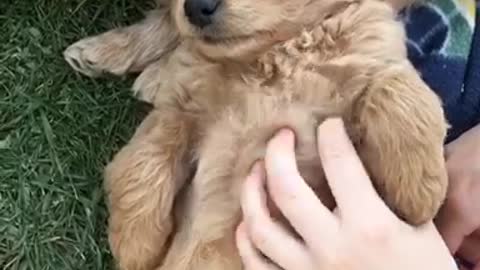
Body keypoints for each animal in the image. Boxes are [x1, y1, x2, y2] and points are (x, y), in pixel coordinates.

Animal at [64, 0, 450, 268]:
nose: (196, 7)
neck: (273, 55)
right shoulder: (182, 108)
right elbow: (141, 163)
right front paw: (135, 245)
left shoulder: (369, 56)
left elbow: (397, 89)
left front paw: (420, 190)